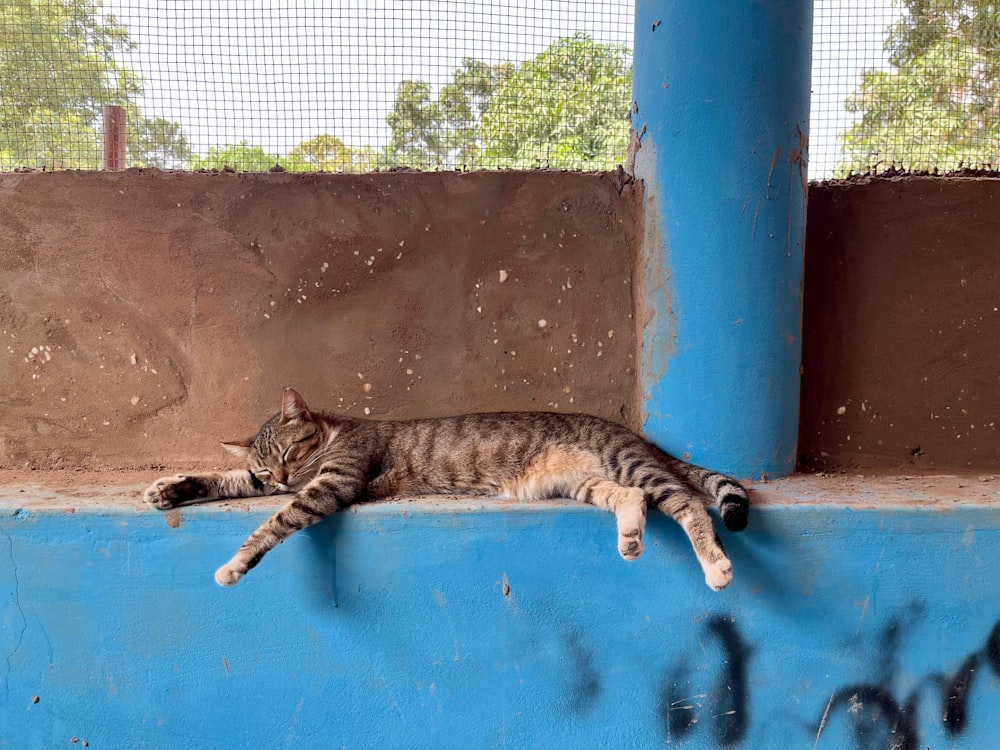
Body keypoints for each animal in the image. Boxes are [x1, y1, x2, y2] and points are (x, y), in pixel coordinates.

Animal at [143, 390, 752, 592]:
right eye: (268, 470)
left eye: (291, 454)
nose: (285, 478)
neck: (337, 429)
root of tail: (636, 435)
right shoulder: (274, 484)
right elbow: (228, 481)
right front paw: (170, 489)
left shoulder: (333, 480)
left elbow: (273, 524)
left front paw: (234, 565)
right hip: (586, 481)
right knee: (634, 501)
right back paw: (629, 541)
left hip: (629, 466)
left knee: (685, 500)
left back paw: (717, 568)